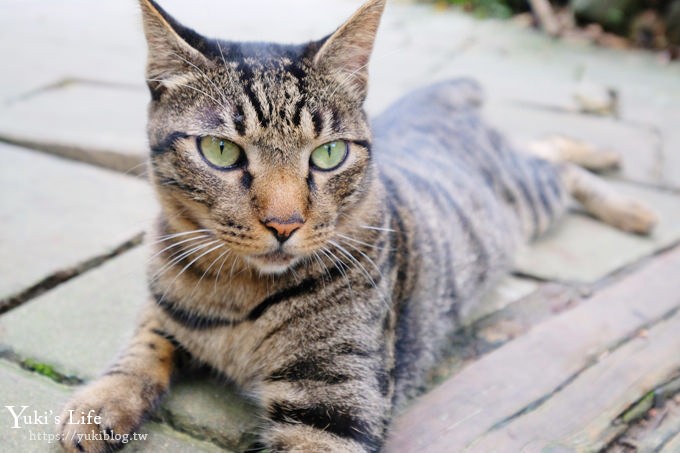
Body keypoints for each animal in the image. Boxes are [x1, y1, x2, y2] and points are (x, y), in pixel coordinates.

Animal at [61, 0, 656, 450]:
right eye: (221, 150)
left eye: (328, 154)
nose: (284, 224)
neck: (238, 293)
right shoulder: (164, 308)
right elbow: (141, 347)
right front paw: (101, 403)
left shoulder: (333, 402)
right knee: (541, 146)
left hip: (527, 198)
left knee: (554, 162)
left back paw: (631, 203)